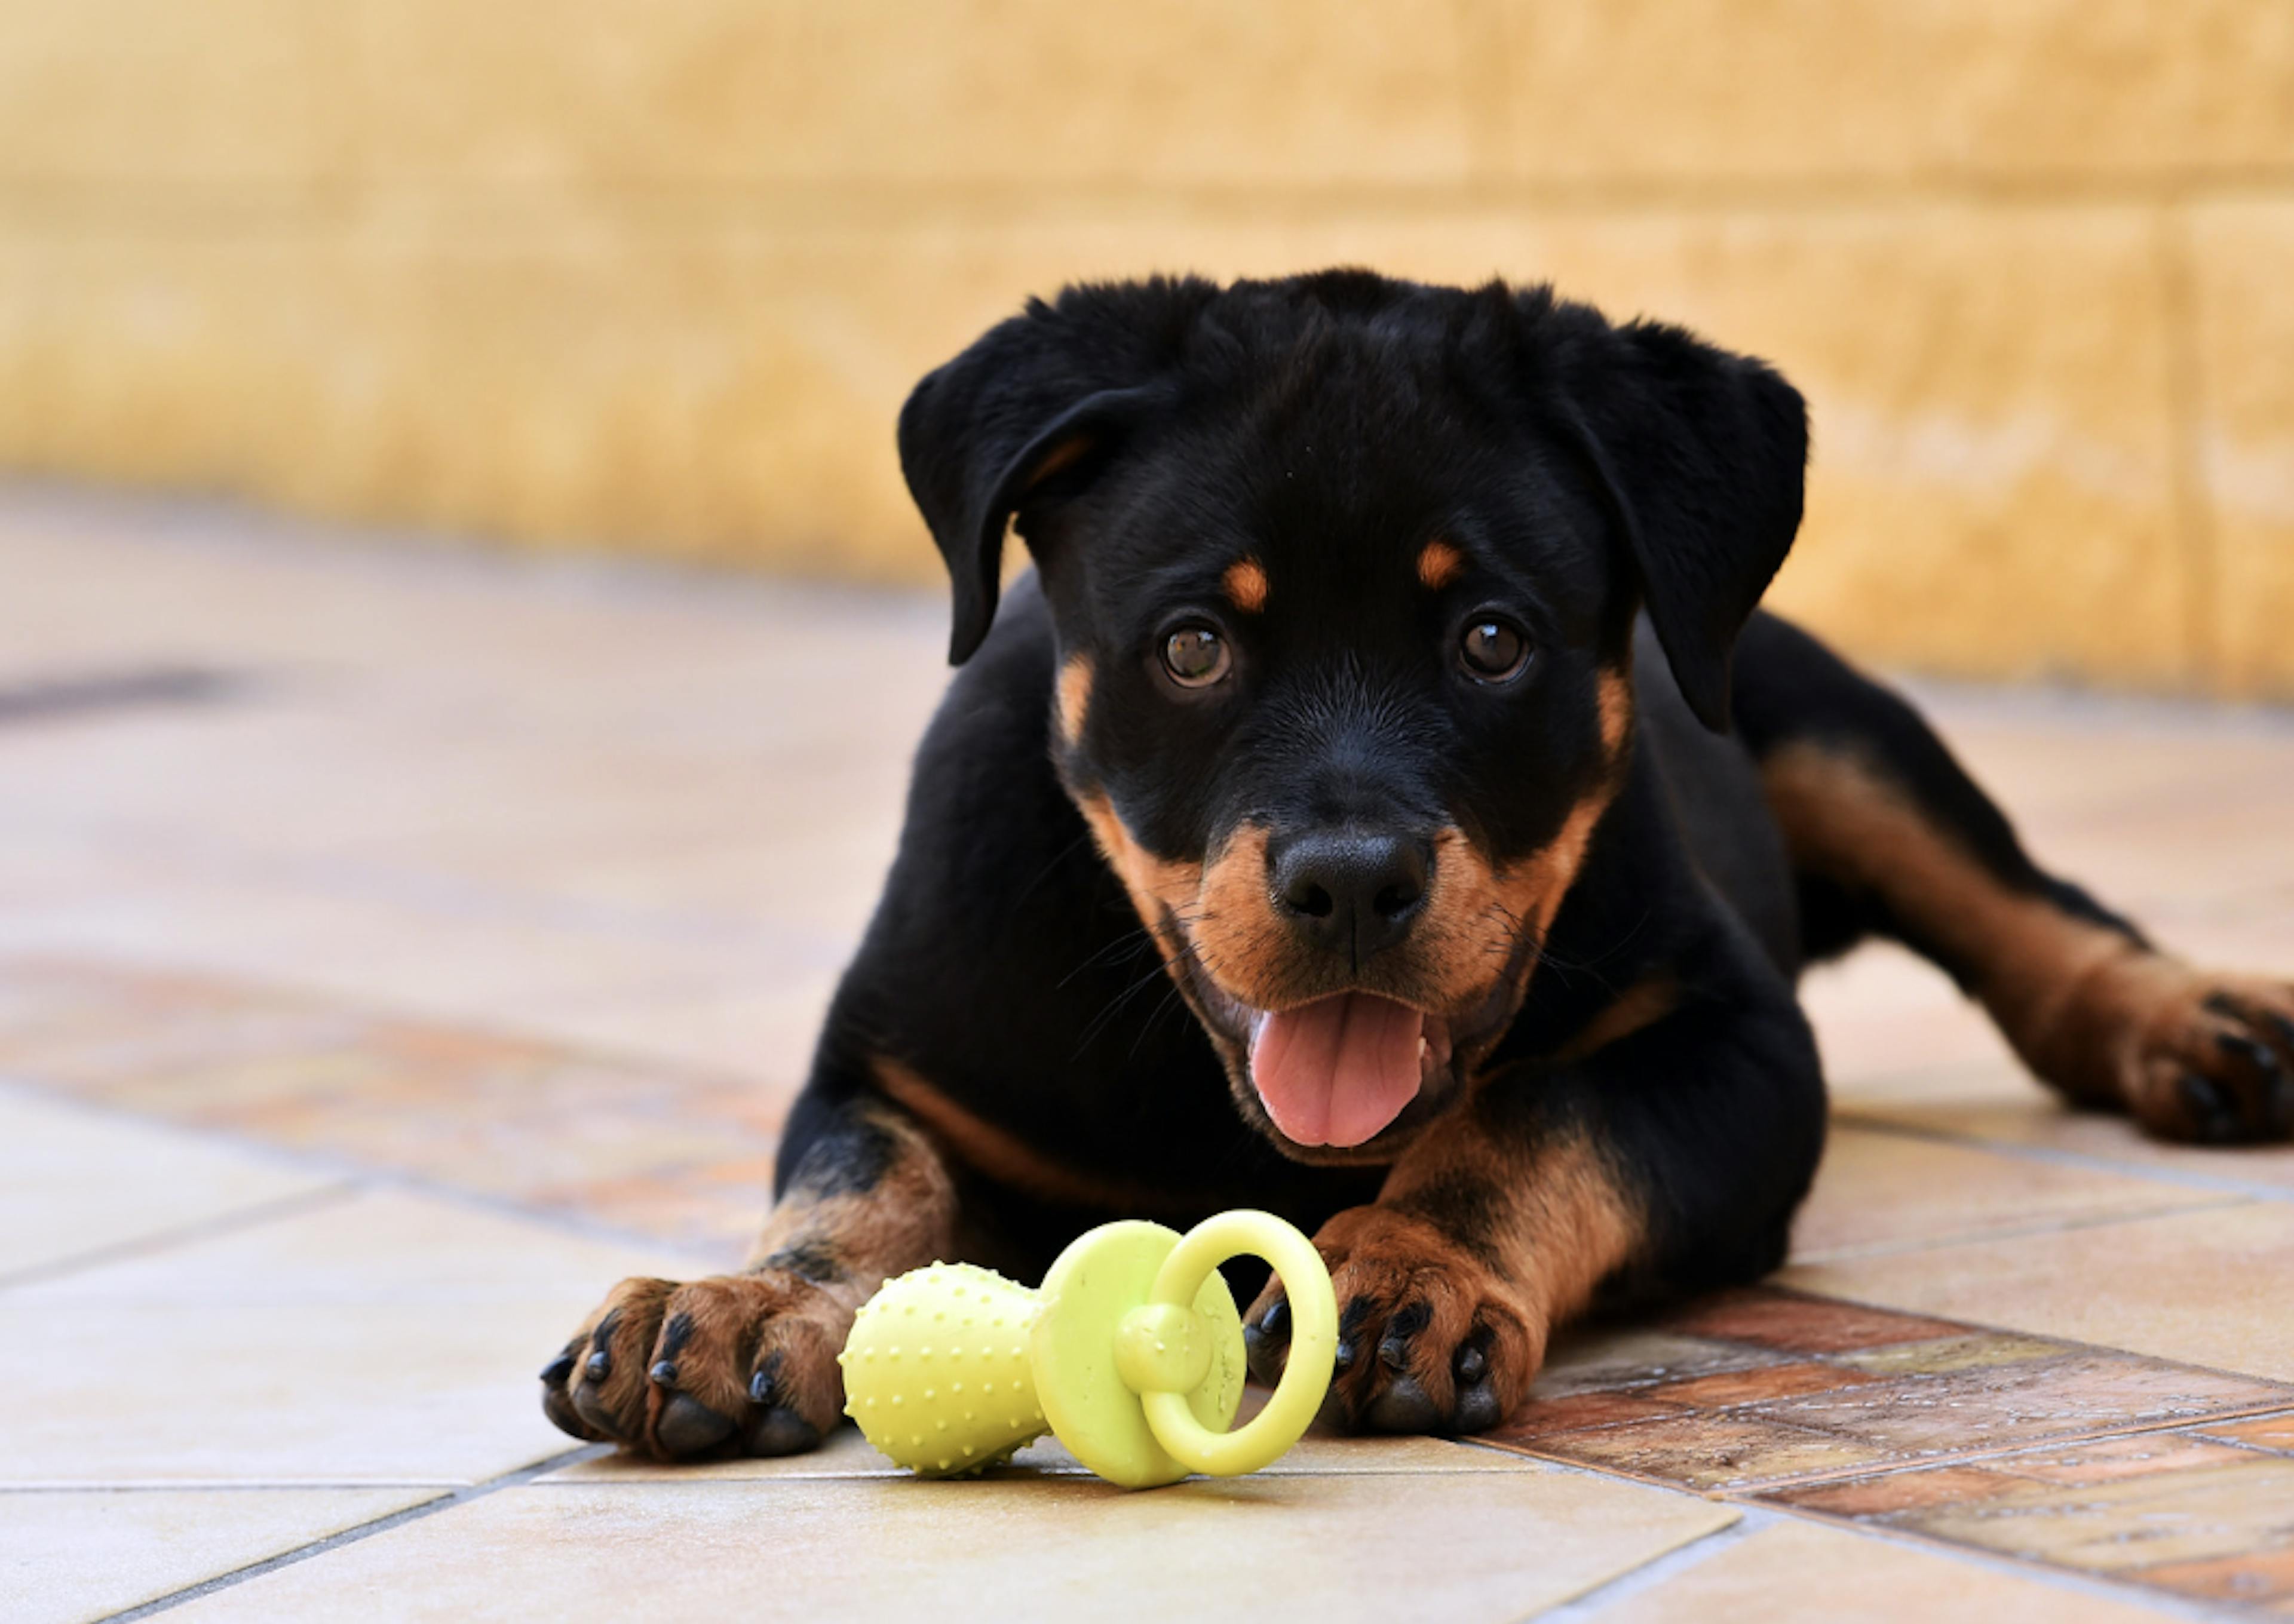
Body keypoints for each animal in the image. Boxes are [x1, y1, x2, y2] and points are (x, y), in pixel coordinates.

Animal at [532, 269, 2294, 1459]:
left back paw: (2199, 1027)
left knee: (2038, 920)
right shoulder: (897, 1062)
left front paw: (1407, 1266)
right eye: (1192, 645)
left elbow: (1536, 1116)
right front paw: (746, 1301)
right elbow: (859, 1180)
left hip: (1829, 726)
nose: (1351, 879)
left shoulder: (1735, 1044)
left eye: (1491, 637)